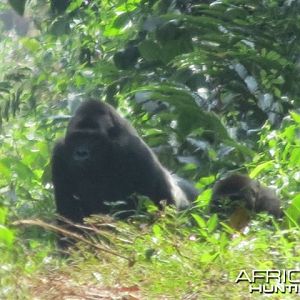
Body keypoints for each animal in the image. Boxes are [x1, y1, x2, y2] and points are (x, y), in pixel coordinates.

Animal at [52, 99, 196, 221]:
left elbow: (161, 201)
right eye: (77, 137)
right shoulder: (59, 152)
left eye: (92, 139)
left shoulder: (135, 148)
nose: (81, 153)